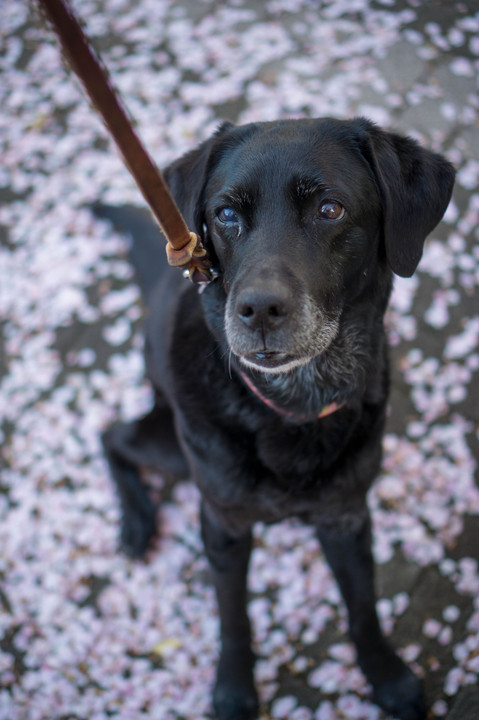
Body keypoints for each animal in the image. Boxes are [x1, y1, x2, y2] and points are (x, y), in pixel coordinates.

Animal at [95, 119, 456, 720]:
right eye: (225, 214)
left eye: (330, 209)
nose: (259, 310)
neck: (299, 400)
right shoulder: (223, 525)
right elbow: (233, 617)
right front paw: (234, 692)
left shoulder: (346, 517)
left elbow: (363, 607)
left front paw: (386, 676)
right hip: (173, 446)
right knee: (111, 433)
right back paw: (138, 521)